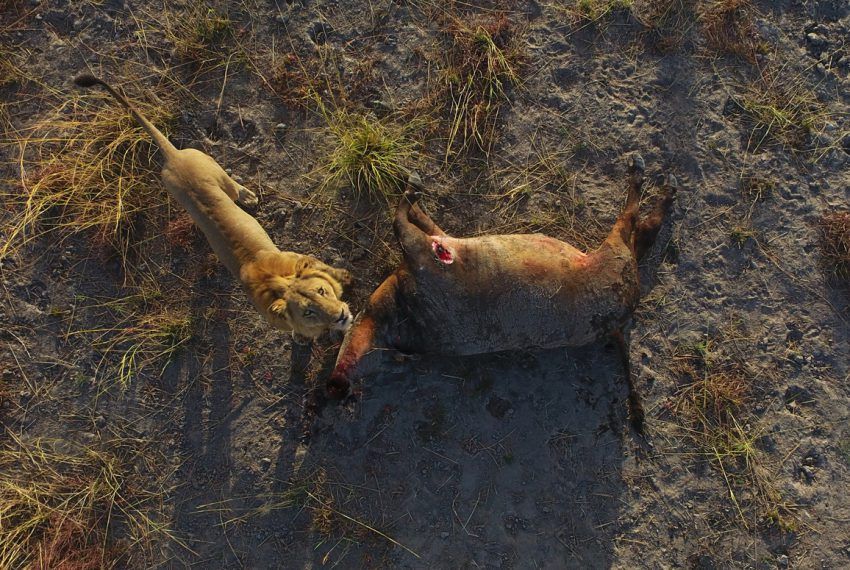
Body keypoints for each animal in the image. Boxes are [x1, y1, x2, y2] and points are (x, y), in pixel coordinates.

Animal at [72, 74, 352, 338]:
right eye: (308, 312)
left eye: (321, 291)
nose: (340, 316)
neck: (274, 281)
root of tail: (174, 156)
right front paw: (304, 335)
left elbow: (328, 269)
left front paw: (344, 278)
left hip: (213, 169)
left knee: (233, 186)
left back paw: (248, 197)